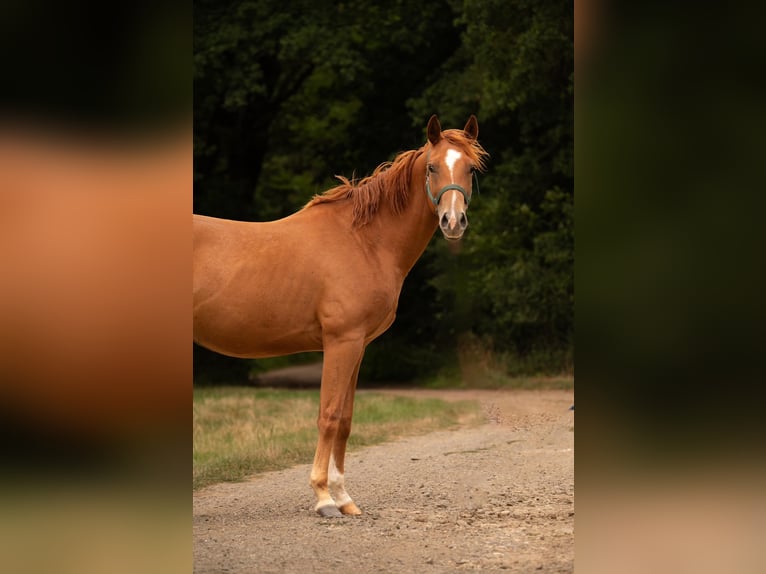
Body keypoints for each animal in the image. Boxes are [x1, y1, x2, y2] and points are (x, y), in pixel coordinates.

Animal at [193, 115, 488, 517]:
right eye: (432, 167)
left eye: (470, 168)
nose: (453, 221)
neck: (364, 242)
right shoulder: (341, 342)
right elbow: (329, 414)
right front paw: (323, 498)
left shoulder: (358, 345)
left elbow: (345, 420)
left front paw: (344, 497)